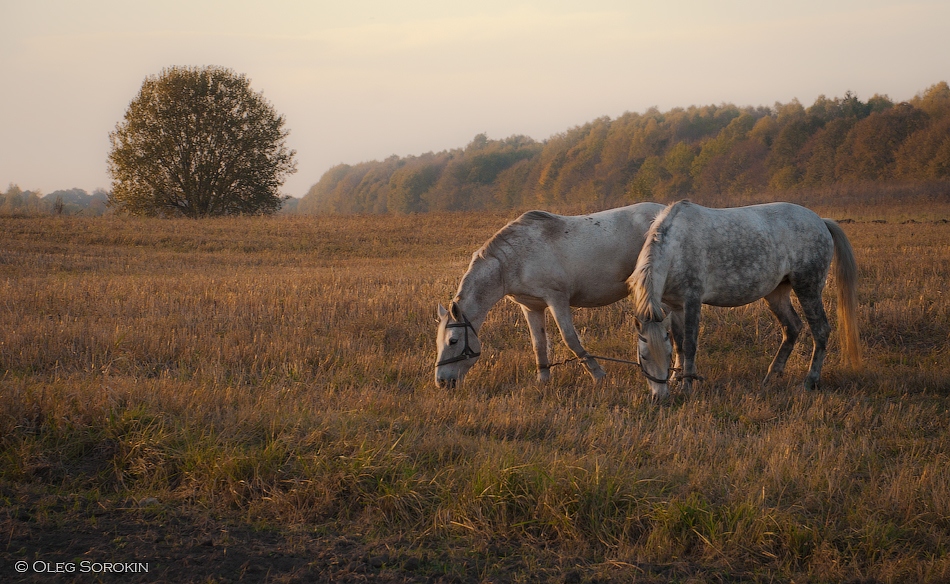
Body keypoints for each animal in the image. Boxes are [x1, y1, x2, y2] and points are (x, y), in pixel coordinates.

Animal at [436, 203, 664, 390]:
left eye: (453, 341)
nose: (441, 381)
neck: (514, 260)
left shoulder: (557, 300)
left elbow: (570, 339)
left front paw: (598, 375)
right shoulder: (531, 307)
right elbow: (538, 344)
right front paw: (543, 380)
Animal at [628, 198, 868, 400]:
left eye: (664, 356)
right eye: (644, 356)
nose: (660, 397)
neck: (675, 247)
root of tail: (821, 222)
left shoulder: (692, 301)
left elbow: (689, 345)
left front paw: (686, 386)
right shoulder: (675, 306)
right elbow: (679, 343)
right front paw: (677, 379)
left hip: (807, 287)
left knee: (820, 330)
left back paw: (810, 381)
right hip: (776, 293)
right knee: (792, 327)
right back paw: (771, 377)